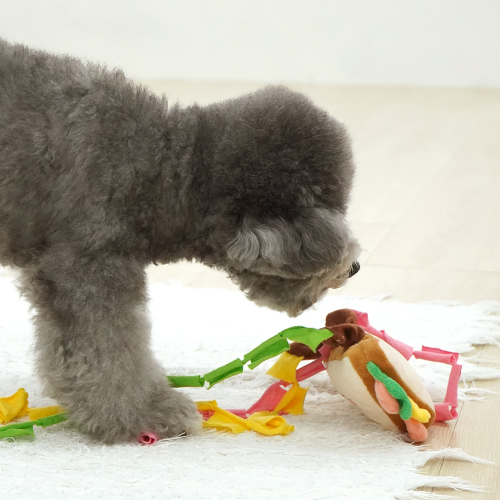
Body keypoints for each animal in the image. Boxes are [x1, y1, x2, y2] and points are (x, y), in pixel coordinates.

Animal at [0, 38, 360, 442]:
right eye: (331, 207)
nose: (354, 267)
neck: (163, 171)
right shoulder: (86, 266)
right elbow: (109, 352)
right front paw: (143, 415)